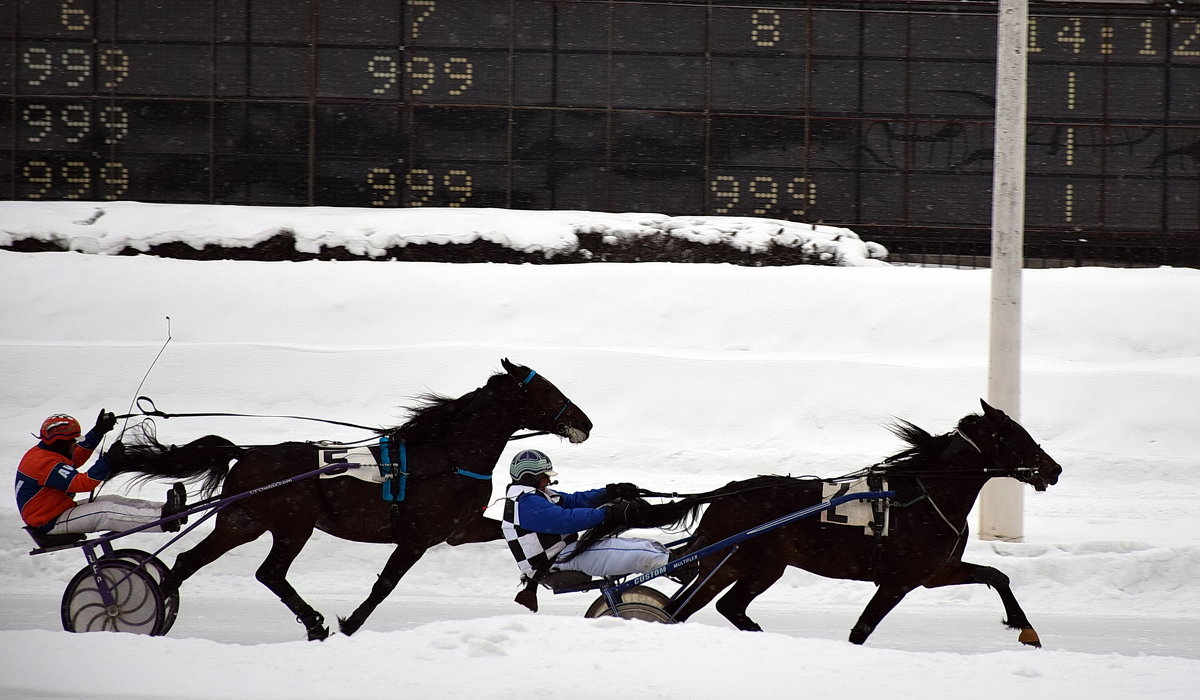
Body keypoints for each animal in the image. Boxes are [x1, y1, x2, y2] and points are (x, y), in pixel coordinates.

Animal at [105, 362, 592, 638]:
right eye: (547, 390)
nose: (585, 421)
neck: (446, 456)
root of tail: (247, 454)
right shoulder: (418, 537)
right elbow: (384, 585)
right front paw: (351, 624)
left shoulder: (460, 530)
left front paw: (536, 583)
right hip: (292, 525)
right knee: (270, 572)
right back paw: (315, 624)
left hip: (242, 521)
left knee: (188, 561)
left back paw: (146, 612)